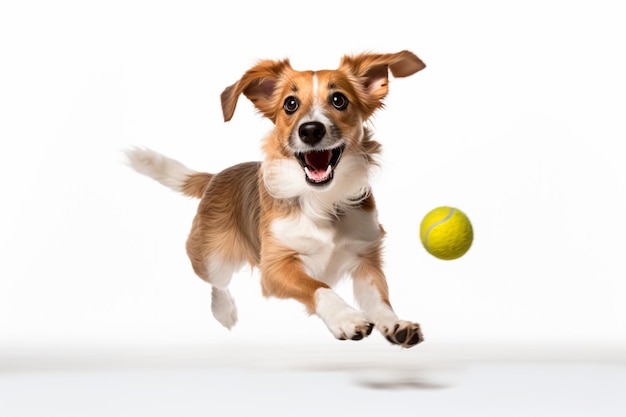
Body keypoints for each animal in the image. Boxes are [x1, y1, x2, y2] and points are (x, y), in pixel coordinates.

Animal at [127, 50, 428, 346]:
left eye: (339, 100)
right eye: (290, 104)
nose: (310, 130)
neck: (321, 201)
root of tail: (216, 176)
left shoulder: (365, 256)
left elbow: (379, 299)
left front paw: (395, 323)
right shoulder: (275, 266)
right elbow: (318, 286)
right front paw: (346, 317)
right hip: (213, 257)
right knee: (217, 282)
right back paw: (224, 310)